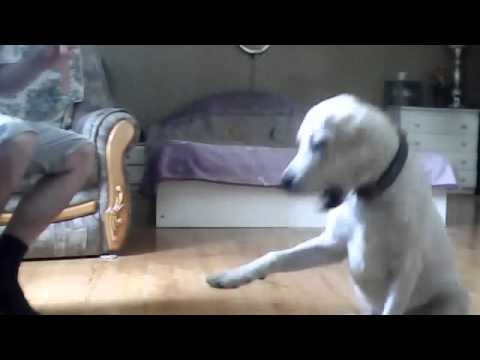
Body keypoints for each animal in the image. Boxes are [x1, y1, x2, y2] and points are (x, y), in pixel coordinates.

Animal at [205, 93, 468, 316]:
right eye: (300, 143)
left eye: (319, 144)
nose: (283, 182)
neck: (370, 198)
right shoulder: (331, 246)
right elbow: (275, 256)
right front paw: (233, 275)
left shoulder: (405, 270)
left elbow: (392, 307)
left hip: (454, 299)